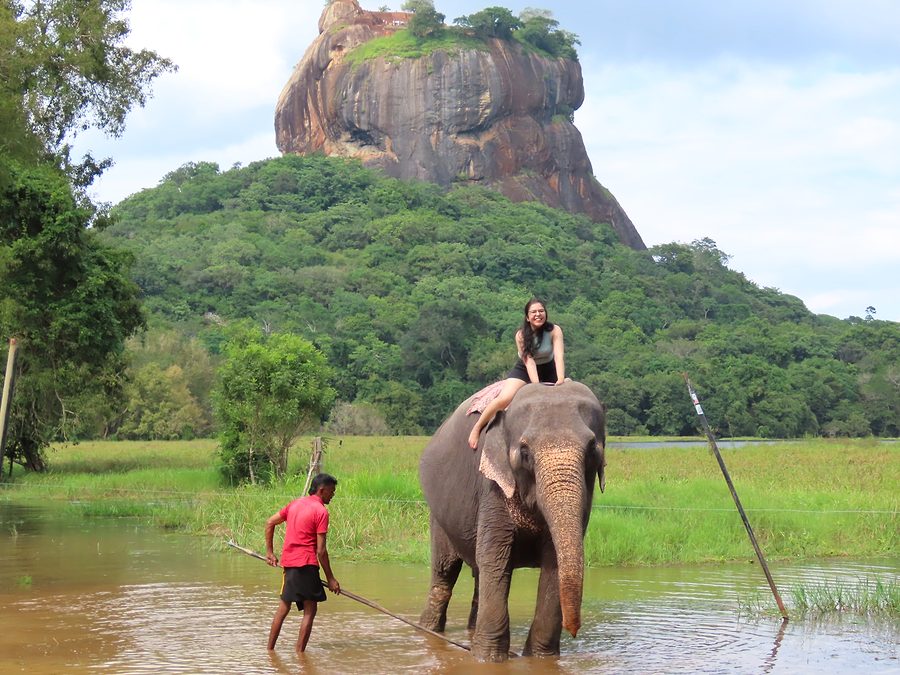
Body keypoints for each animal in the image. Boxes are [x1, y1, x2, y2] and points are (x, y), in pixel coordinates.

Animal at [418, 380, 606, 662]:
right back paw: (429, 631)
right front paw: (488, 660)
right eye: (525, 452)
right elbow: (496, 558)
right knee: (444, 573)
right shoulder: (492, 487)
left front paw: (541, 659)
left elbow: (553, 562)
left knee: (477, 574)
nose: (573, 631)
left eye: (592, 448)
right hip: (439, 516)